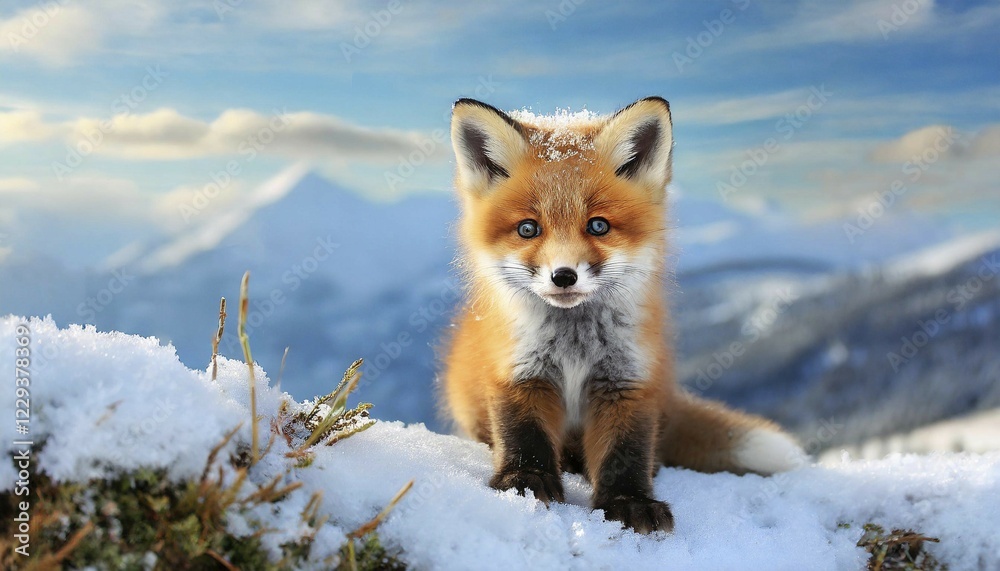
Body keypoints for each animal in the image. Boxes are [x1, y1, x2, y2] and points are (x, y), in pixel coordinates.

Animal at [441, 96, 807, 534]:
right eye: (528, 229)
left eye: (598, 226)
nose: (563, 276)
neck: (574, 346)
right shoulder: (519, 372)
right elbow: (524, 437)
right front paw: (524, 483)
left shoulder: (627, 382)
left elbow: (625, 452)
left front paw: (628, 502)